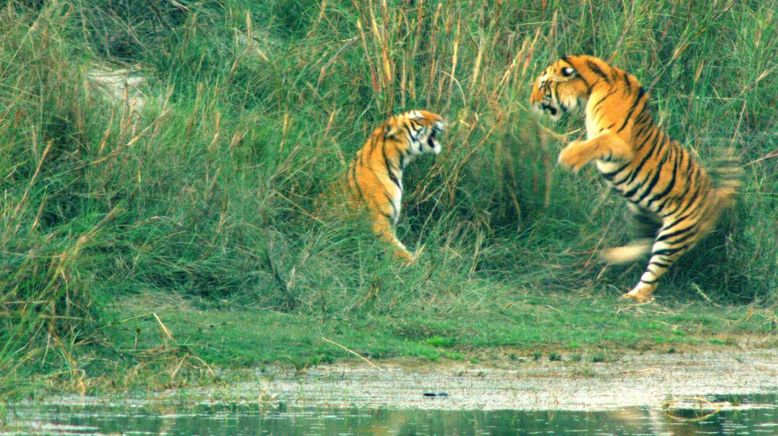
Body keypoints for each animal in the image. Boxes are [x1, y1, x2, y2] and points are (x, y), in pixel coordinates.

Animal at [528, 55, 740, 304]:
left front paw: (568, 157)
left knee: (653, 272)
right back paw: (611, 255)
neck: (593, 87)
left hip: (674, 234)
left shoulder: (618, 141)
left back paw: (634, 295)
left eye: (543, 85)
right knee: (645, 244)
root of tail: (716, 197)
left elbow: (595, 144)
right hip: (643, 213)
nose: (531, 101)